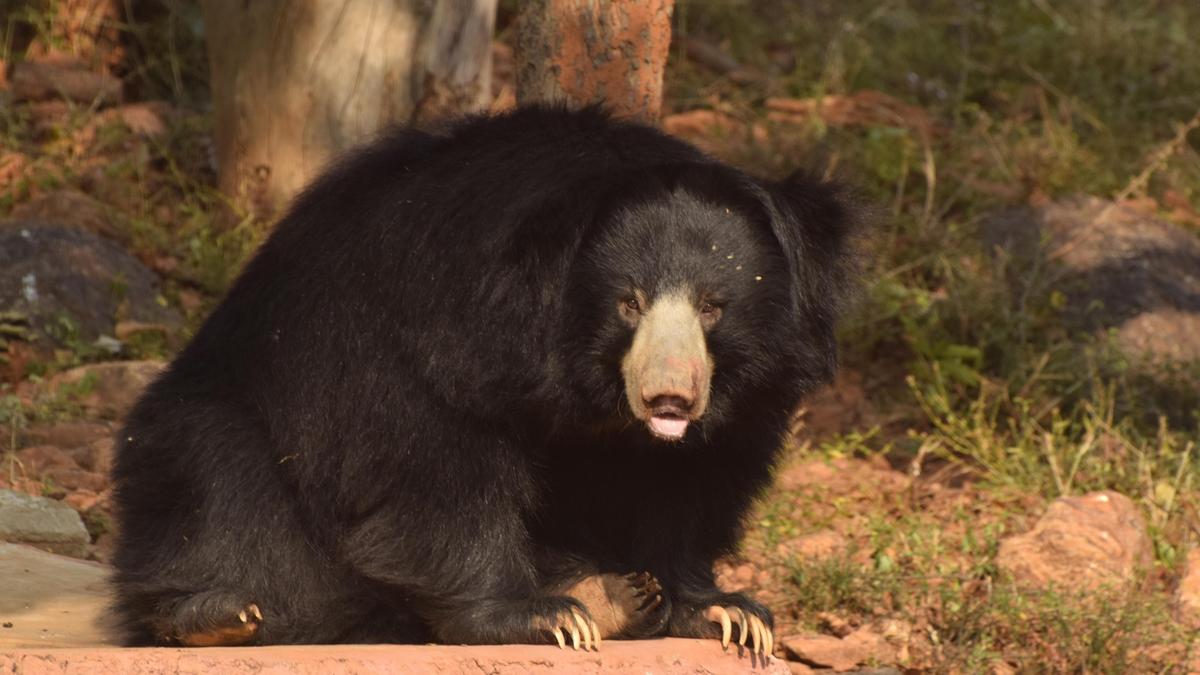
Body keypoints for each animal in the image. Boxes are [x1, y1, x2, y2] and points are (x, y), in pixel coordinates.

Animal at [109, 106, 857, 657]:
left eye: (712, 305)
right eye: (629, 301)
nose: (668, 397)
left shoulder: (742, 399)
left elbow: (688, 481)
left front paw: (725, 611)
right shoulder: (436, 329)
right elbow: (439, 464)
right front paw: (534, 617)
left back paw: (615, 594)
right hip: (215, 423)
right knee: (216, 479)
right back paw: (216, 614)